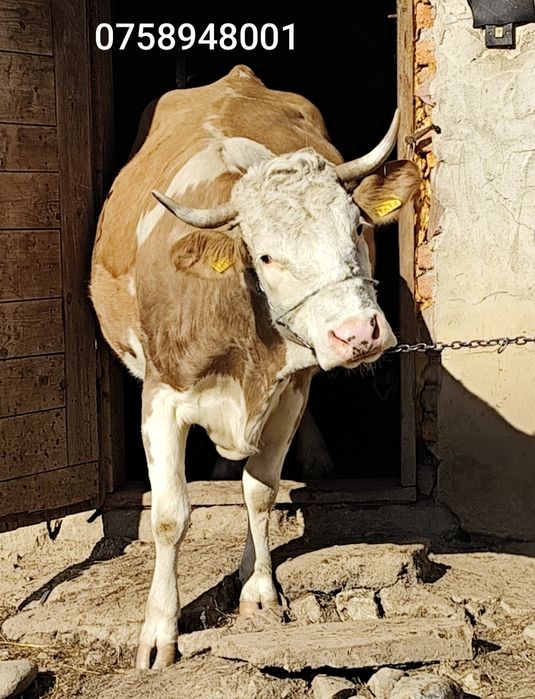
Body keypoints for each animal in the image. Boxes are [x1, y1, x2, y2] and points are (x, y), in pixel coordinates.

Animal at [90, 64, 420, 669]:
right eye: (265, 255)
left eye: (356, 228)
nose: (358, 334)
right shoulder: (160, 397)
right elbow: (169, 516)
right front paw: (159, 630)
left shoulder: (289, 390)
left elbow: (261, 492)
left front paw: (259, 588)